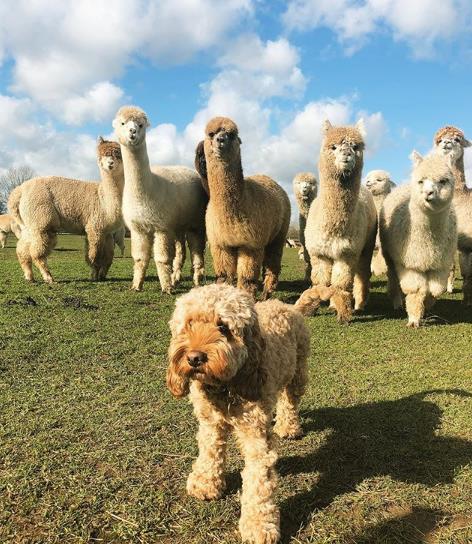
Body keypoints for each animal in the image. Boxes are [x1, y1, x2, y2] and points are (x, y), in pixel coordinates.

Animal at [166, 284, 310, 544]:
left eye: (223, 327)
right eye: (189, 324)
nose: (194, 358)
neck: (225, 387)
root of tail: (288, 306)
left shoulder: (256, 434)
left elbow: (259, 480)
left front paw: (259, 524)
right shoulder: (210, 422)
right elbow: (209, 452)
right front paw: (206, 482)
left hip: (298, 372)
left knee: (290, 400)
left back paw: (288, 427)